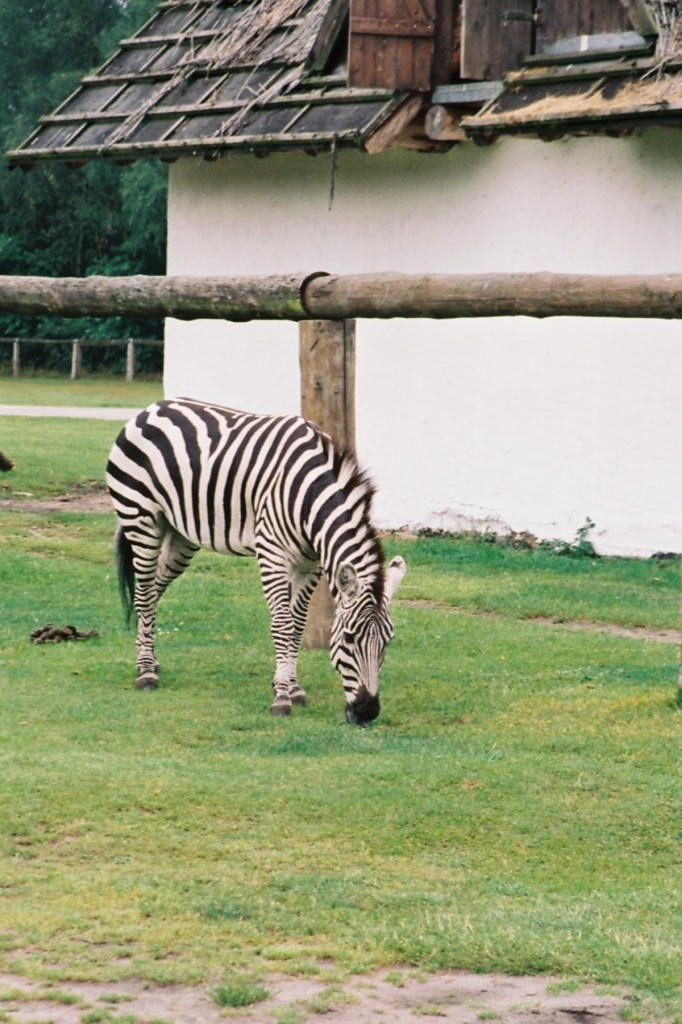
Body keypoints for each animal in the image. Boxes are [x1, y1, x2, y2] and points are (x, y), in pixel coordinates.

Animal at [104, 395, 403, 724]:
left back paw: (149, 659)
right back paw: (145, 671)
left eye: (388, 640)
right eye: (349, 638)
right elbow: (282, 625)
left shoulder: (310, 564)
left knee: (153, 591)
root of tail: (153, 408)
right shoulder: (272, 555)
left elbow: (298, 624)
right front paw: (282, 698)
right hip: (141, 519)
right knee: (144, 593)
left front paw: (293, 688)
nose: (367, 712)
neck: (310, 494)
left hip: (181, 536)